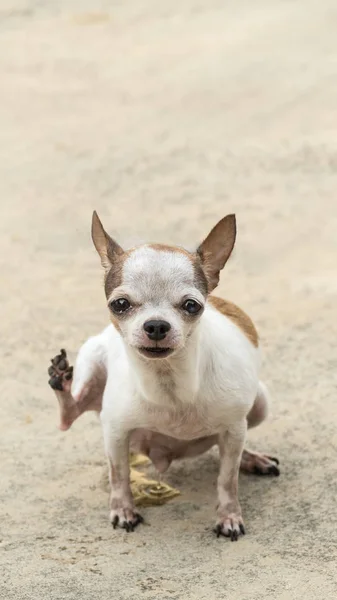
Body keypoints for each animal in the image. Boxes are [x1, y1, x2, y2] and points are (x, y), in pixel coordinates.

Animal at [48, 213, 278, 540]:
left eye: (191, 305)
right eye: (120, 304)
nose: (156, 325)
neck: (168, 382)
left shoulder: (234, 429)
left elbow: (227, 479)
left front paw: (229, 515)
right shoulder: (115, 431)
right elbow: (119, 474)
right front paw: (123, 509)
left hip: (260, 403)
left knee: (236, 449)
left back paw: (251, 458)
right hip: (91, 362)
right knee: (72, 412)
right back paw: (63, 386)